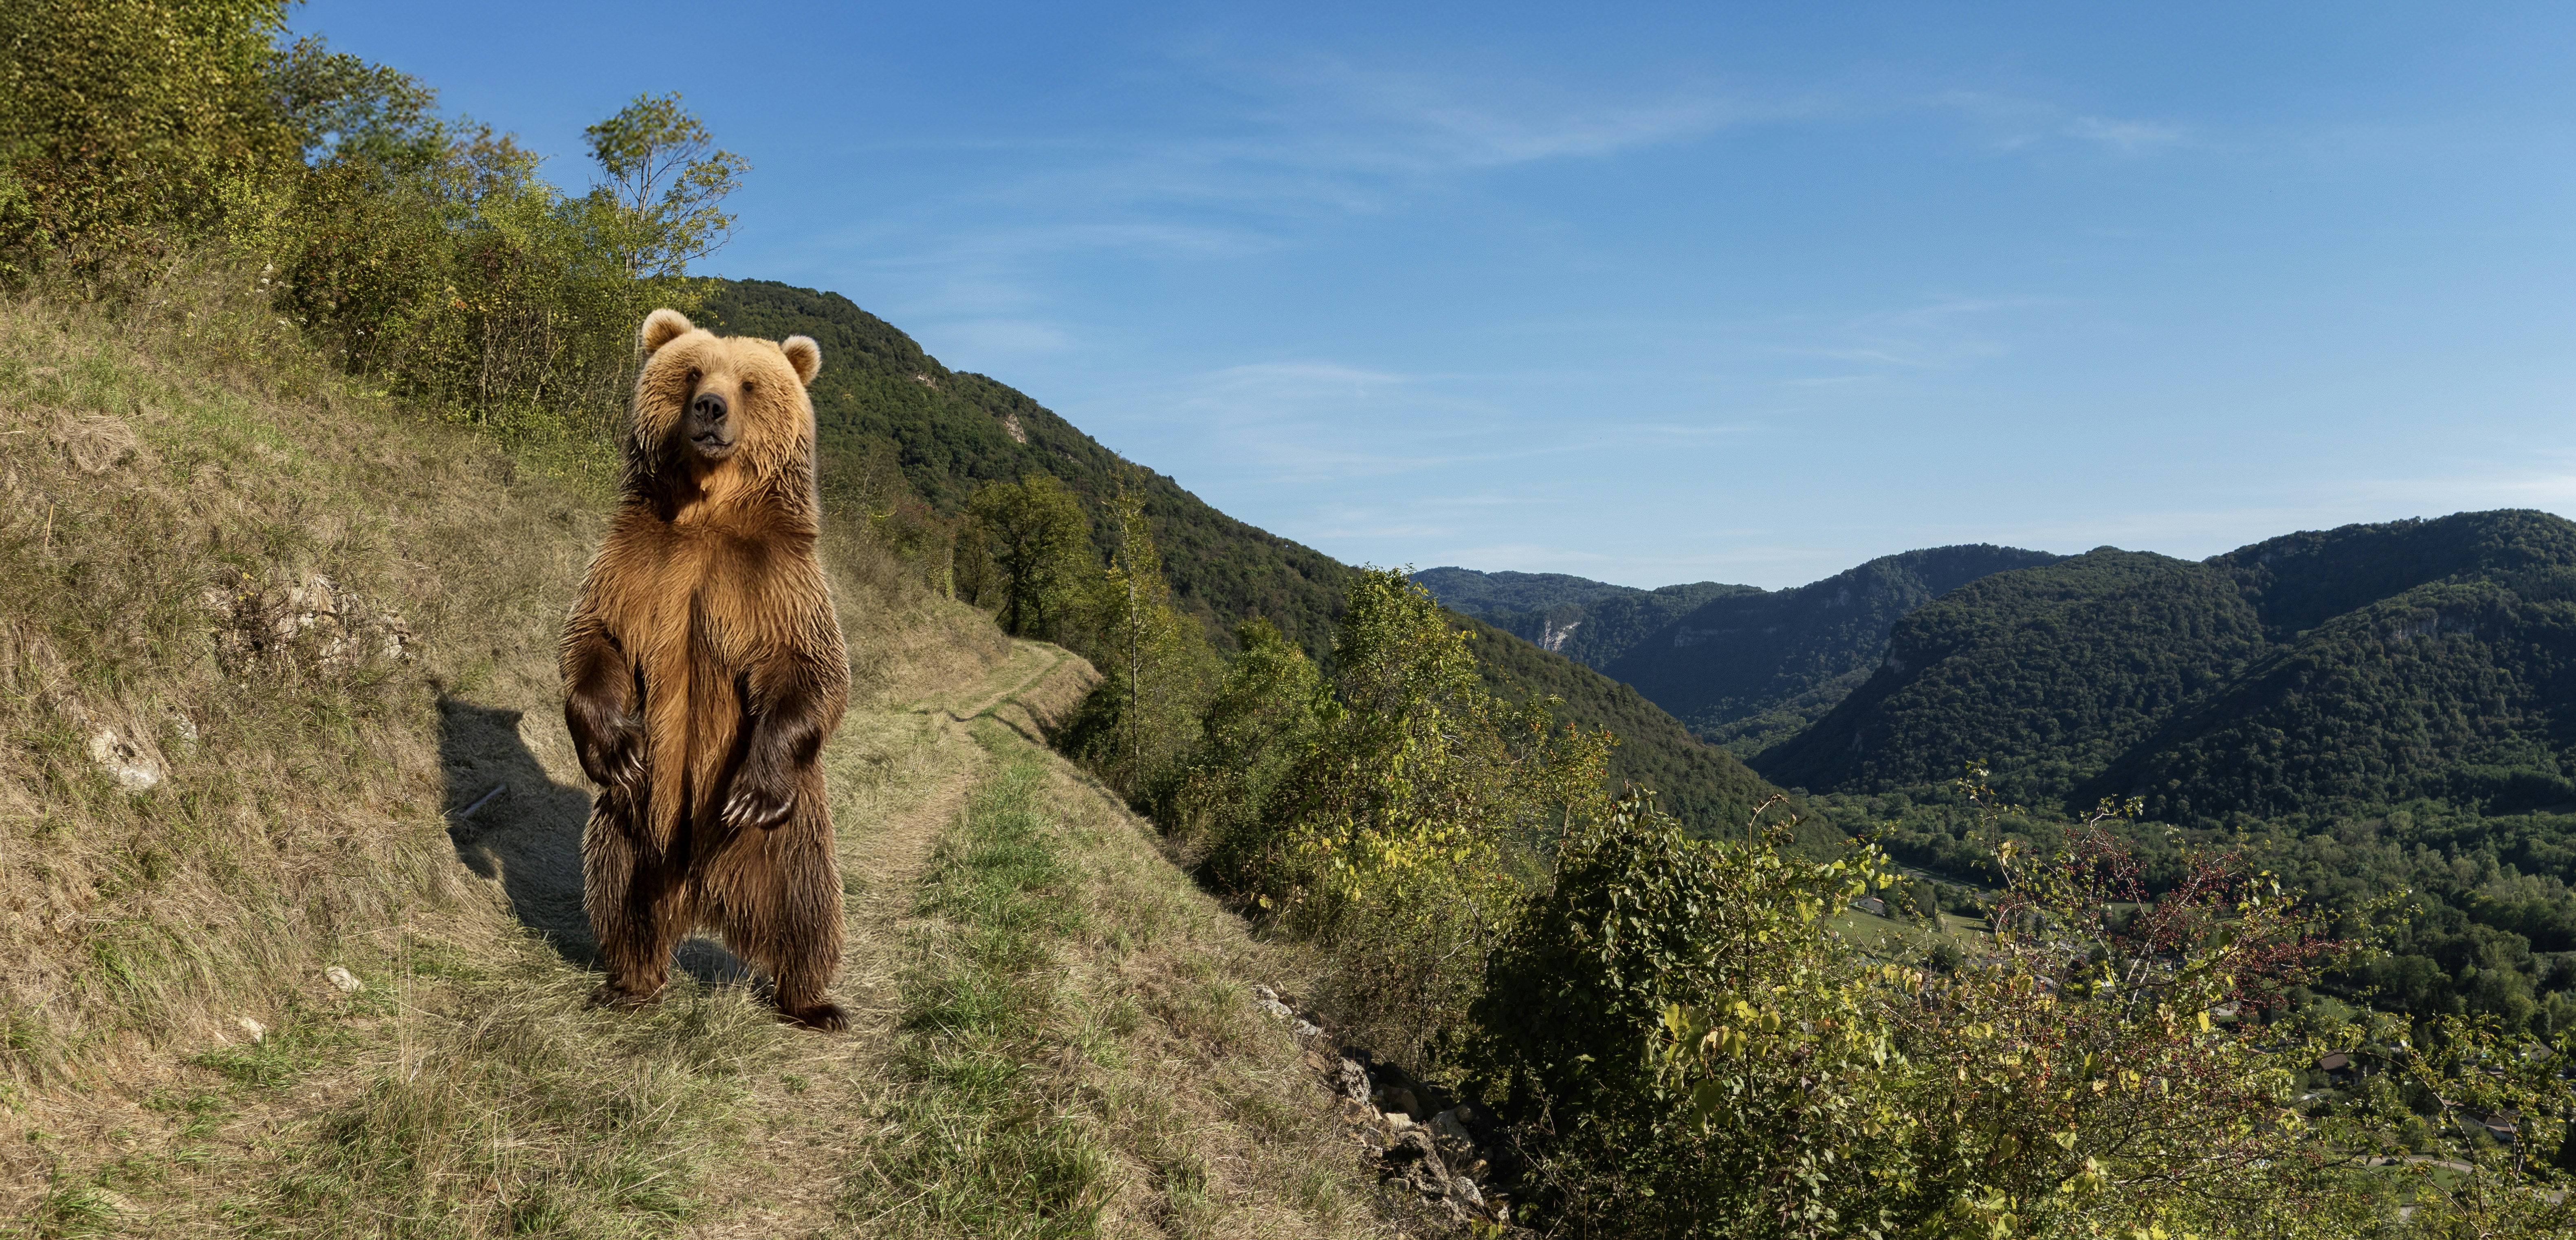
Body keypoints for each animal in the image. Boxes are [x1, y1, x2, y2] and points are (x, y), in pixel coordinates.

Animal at [559, 307, 850, 1030]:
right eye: (692, 371)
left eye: (748, 383)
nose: (710, 408)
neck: (705, 511)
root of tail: (703, 897)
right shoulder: (638, 564)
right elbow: (594, 638)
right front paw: (613, 745)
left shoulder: (775, 583)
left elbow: (812, 670)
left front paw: (754, 787)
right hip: (634, 826)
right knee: (618, 895)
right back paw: (628, 982)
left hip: (788, 838)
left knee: (809, 911)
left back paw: (813, 1001)